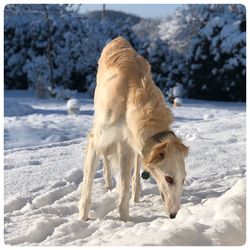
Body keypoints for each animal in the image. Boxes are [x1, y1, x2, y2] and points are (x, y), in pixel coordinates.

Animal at [78, 36, 188, 221]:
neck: (131, 96)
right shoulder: (96, 139)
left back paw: (135, 195)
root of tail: (118, 39)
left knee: (134, 173)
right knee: (106, 158)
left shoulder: (128, 145)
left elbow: (124, 187)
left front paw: (124, 220)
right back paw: (108, 183)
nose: (173, 215)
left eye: (184, 179)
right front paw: (83, 217)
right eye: (169, 179)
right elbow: (88, 184)